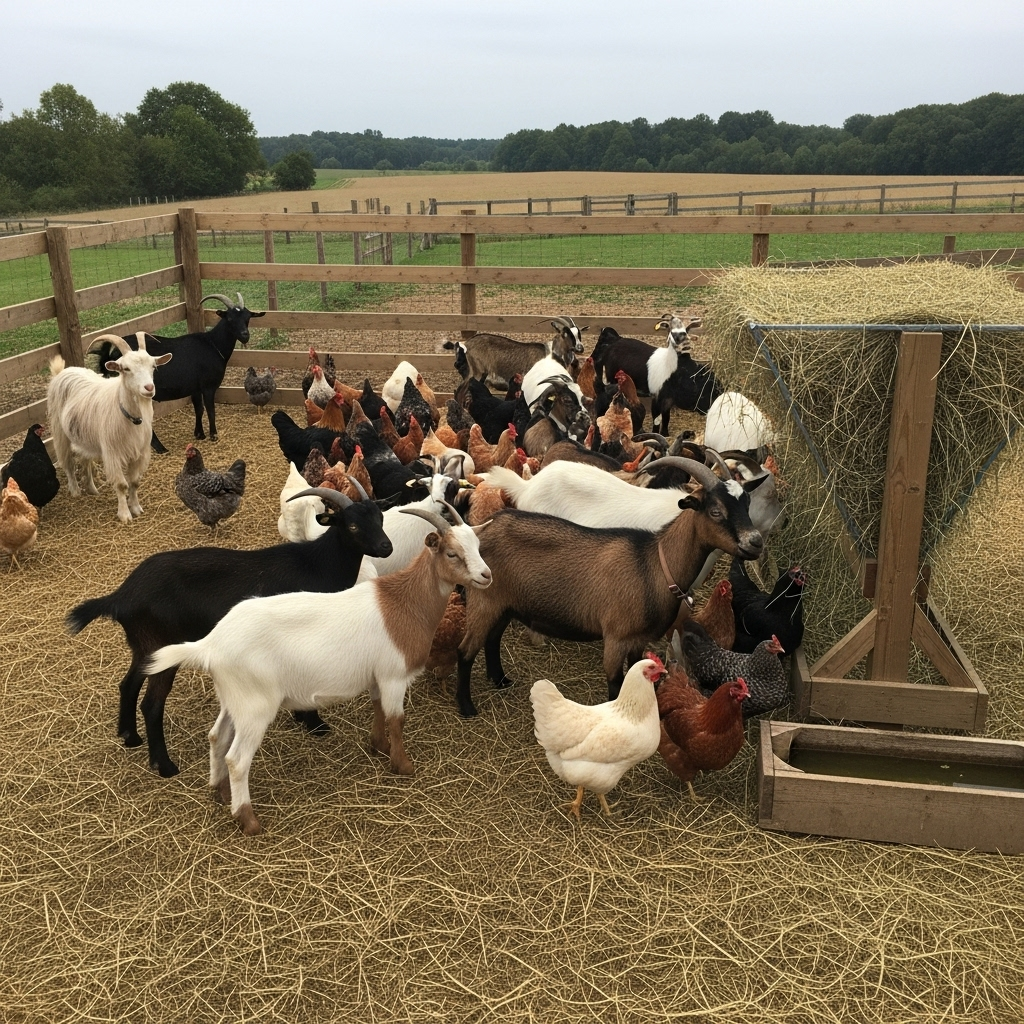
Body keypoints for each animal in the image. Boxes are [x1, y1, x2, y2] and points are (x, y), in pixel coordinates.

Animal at [47, 333, 172, 523]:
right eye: (126, 368)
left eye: (153, 366)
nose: (149, 388)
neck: (129, 416)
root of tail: (62, 372)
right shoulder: (113, 453)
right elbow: (121, 485)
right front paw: (125, 515)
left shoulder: (140, 452)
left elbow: (134, 482)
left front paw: (136, 508)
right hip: (60, 431)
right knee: (67, 461)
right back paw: (75, 491)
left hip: (84, 436)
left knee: (85, 459)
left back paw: (92, 489)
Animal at [65, 481, 392, 778]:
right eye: (352, 525)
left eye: (380, 517)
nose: (386, 547)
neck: (317, 564)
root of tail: (121, 596)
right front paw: (314, 722)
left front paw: (304, 718)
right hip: (161, 646)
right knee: (152, 704)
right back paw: (164, 765)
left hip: (144, 646)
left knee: (128, 684)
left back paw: (129, 737)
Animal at [91, 292, 265, 450]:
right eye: (229, 318)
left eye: (248, 317)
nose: (245, 335)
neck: (213, 344)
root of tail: (111, 355)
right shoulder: (208, 386)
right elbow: (210, 409)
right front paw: (213, 435)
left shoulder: (195, 388)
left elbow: (199, 409)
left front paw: (199, 434)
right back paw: (160, 448)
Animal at [145, 503, 492, 835]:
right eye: (451, 553)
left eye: (477, 545)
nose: (486, 575)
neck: (404, 602)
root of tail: (211, 645)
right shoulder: (394, 676)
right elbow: (397, 719)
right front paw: (403, 766)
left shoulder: (377, 676)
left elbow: (378, 708)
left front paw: (378, 748)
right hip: (256, 707)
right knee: (237, 760)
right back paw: (249, 821)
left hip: (235, 700)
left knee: (217, 737)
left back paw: (221, 794)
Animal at [455, 457, 764, 717]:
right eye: (716, 511)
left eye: (748, 504)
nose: (756, 542)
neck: (653, 565)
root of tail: (482, 531)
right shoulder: (615, 637)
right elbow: (616, 683)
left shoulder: (638, 639)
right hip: (484, 600)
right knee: (466, 649)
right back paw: (467, 706)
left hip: (505, 603)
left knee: (492, 639)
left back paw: (500, 680)